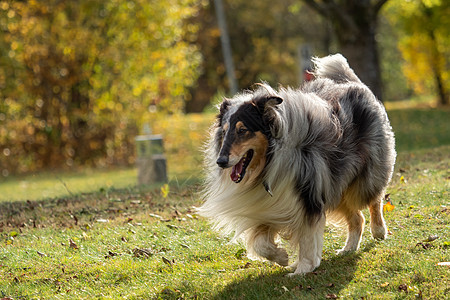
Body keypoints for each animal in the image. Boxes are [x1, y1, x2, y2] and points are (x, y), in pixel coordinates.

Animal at [199, 53, 396, 274]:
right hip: (335, 186)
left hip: (363, 177)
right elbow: (260, 244)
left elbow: (308, 240)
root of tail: (351, 82)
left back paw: (379, 231)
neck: (269, 162)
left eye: (242, 130)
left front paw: (303, 269)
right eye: (224, 132)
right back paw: (348, 249)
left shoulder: (309, 197)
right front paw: (282, 258)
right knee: (357, 218)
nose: (221, 161)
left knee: (374, 198)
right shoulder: (269, 207)